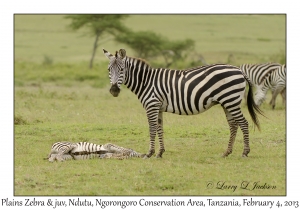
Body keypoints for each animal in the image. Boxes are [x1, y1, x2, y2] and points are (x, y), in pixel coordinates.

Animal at [103, 48, 262, 158]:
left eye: (122, 69)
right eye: (109, 69)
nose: (114, 90)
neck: (146, 82)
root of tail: (239, 70)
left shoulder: (152, 105)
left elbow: (152, 128)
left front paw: (149, 153)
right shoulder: (158, 107)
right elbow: (160, 128)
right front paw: (160, 153)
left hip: (231, 100)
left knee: (243, 123)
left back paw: (245, 152)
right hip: (227, 102)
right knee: (233, 125)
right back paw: (226, 152)